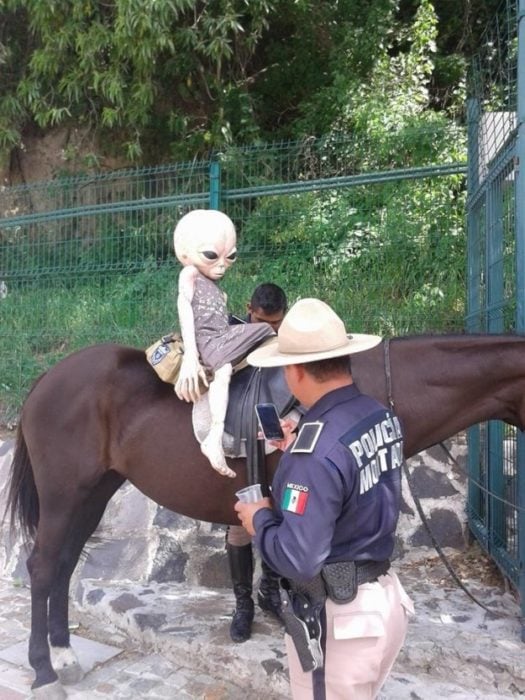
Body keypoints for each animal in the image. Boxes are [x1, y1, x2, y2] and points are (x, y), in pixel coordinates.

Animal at [5, 334, 525, 696]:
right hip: (63, 496)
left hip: (91, 495)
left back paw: (64, 655)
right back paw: (44, 671)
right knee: (43, 567)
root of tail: (46, 379)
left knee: (65, 565)